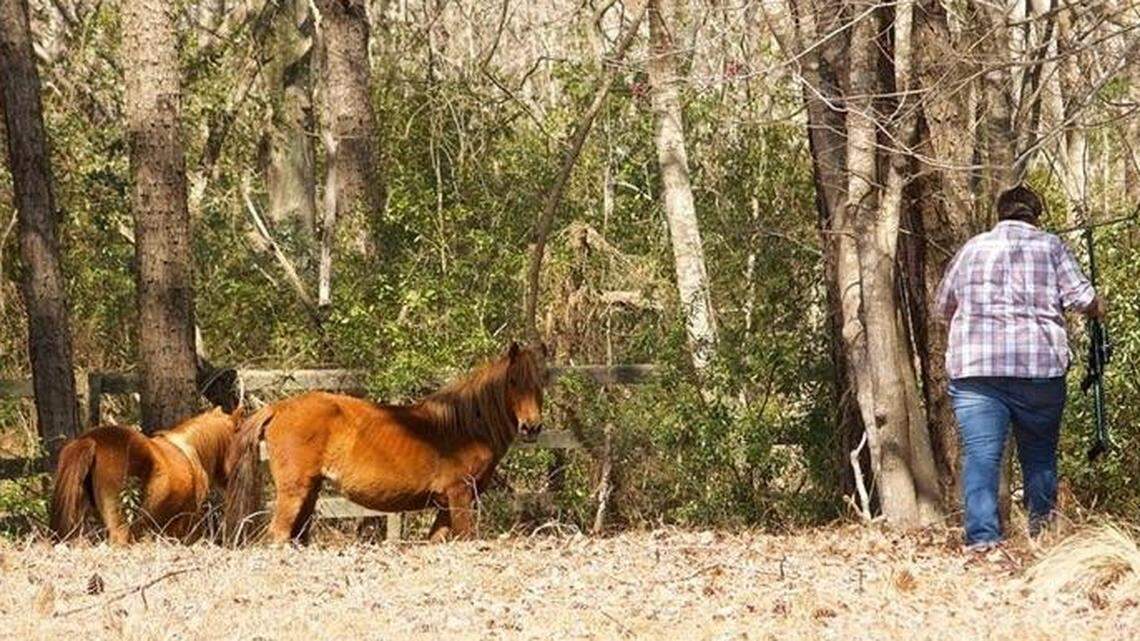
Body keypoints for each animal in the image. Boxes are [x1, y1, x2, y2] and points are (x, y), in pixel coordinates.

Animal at [224, 341, 548, 544]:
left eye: (541, 383)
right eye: (513, 381)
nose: (531, 426)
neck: (465, 427)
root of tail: (280, 407)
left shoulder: (444, 505)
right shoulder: (459, 496)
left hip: (310, 491)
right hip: (294, 491)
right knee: (278, 535)